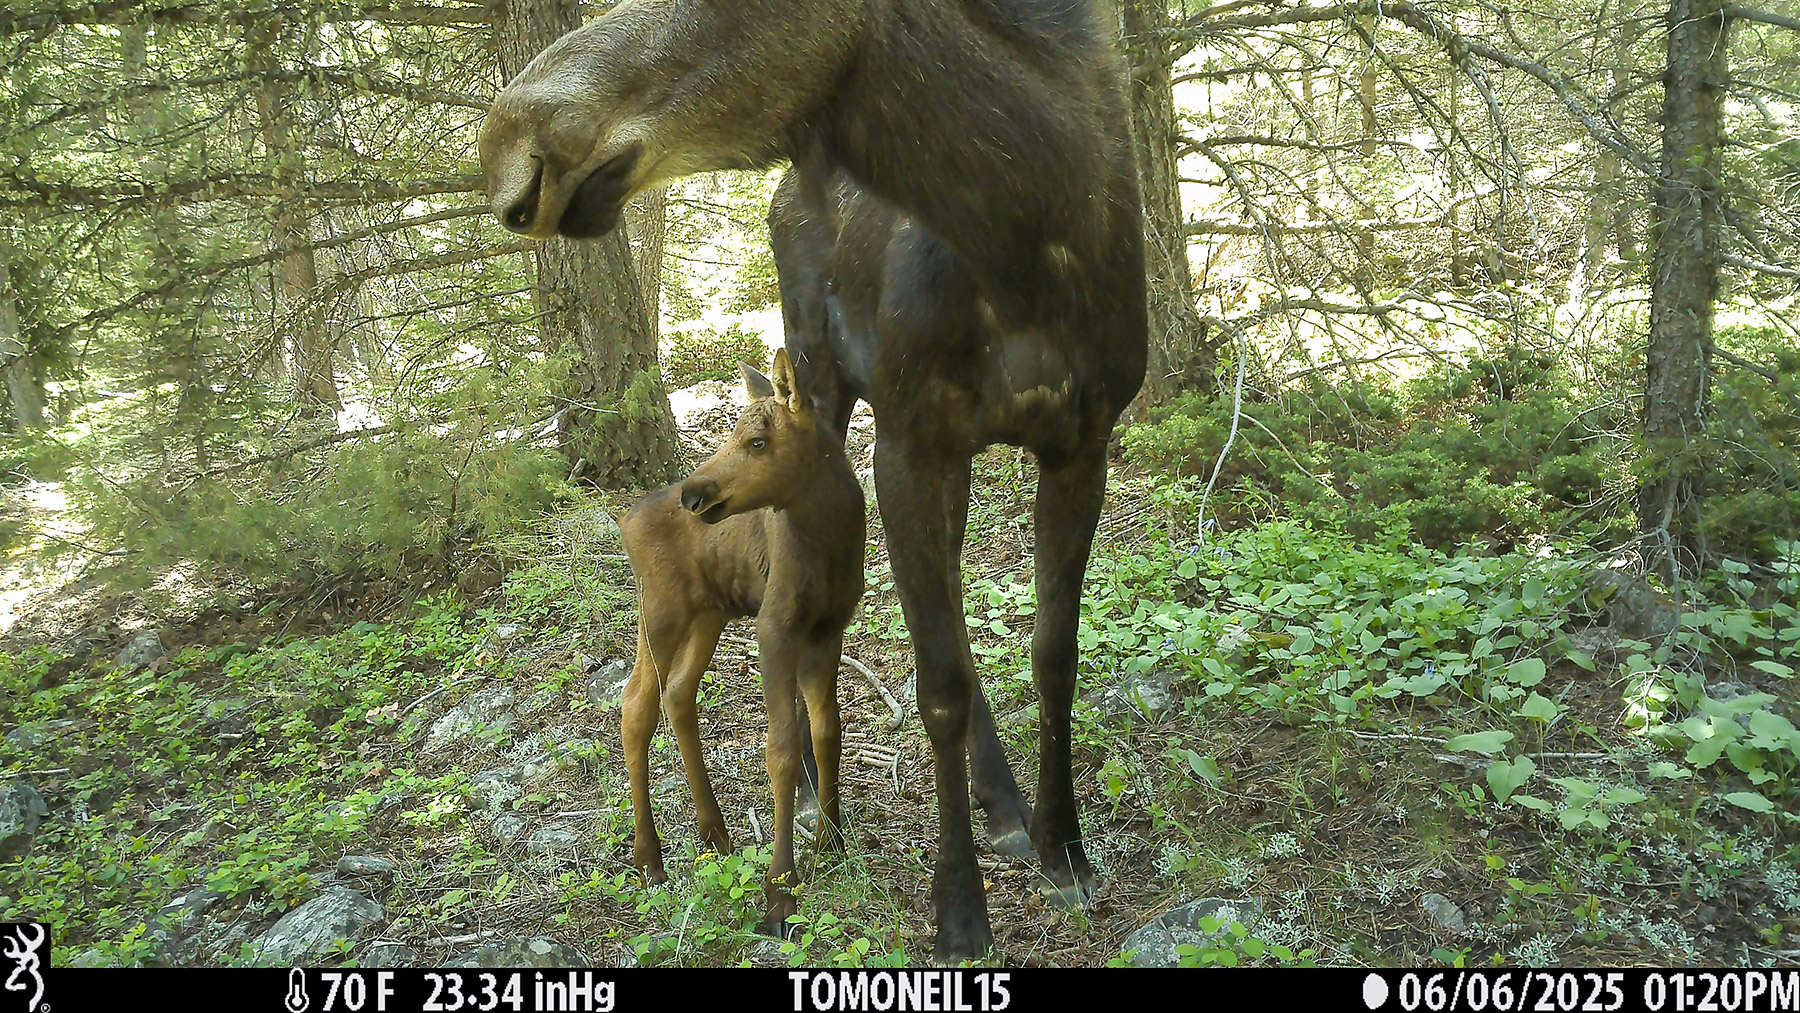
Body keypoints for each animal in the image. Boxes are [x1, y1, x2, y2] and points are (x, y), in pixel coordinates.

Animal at [618, 348, 865, 935]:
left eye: (757, 441)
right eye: (733, 432)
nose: (695, 494)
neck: (832, 540)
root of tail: (624, 518)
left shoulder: (828, 629)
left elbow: (827, 731)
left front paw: (832, 840)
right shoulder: (774, 628)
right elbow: (782, 749)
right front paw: (780, 890)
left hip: (709, 612)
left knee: (677, 694)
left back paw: (714, 832)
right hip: (660, 613)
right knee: (635, 706)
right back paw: (650, 859)